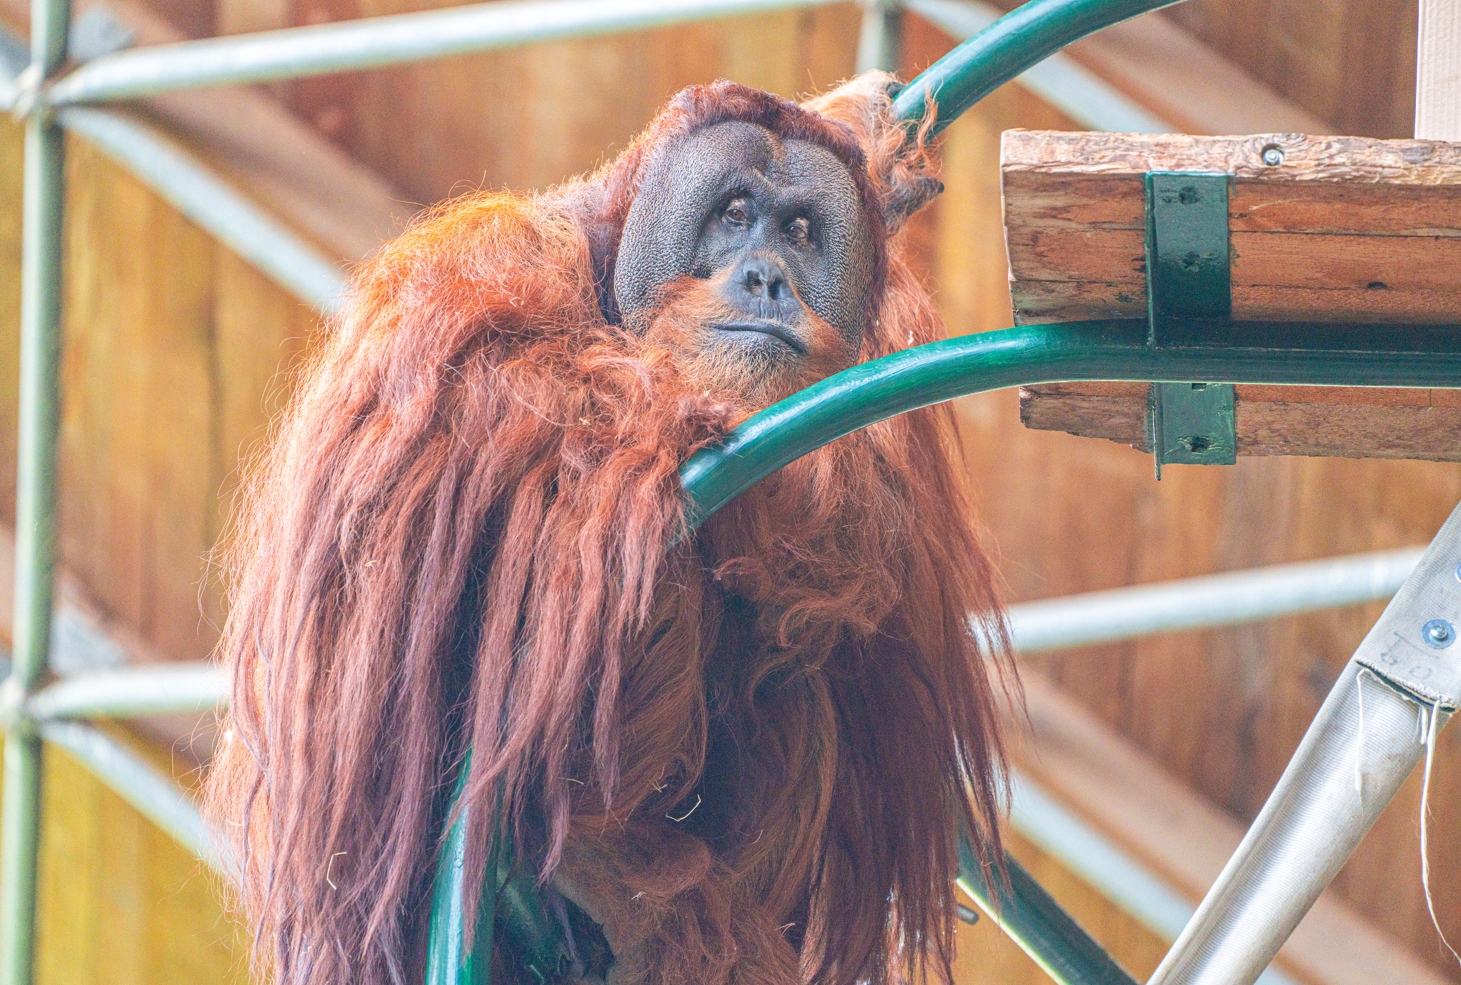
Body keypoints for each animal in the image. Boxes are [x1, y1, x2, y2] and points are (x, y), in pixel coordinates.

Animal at [206, 73, 1010, 985]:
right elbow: (478, 428)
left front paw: (872, 140)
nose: (767, 278)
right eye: (733, 214)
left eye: (802, 232)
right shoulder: (490, 262)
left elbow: (869, 560)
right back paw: (614, 863)